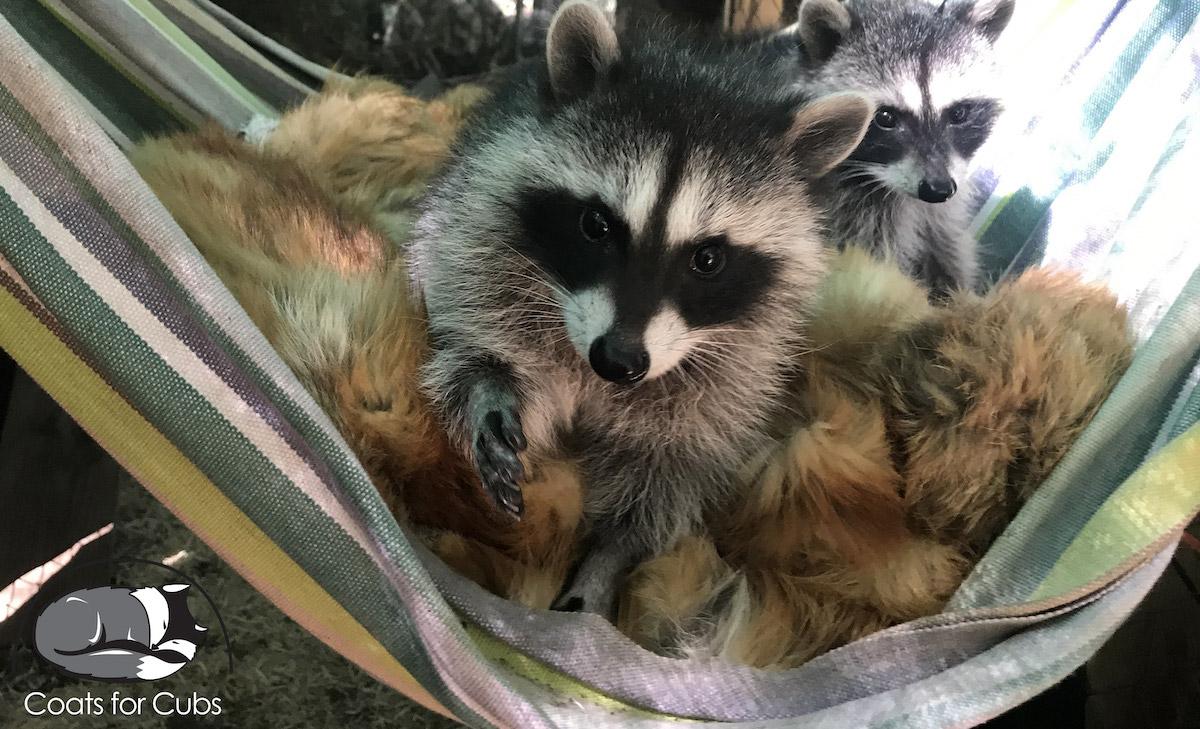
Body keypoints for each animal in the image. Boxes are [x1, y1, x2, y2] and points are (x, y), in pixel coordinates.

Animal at [408, 0, 872, 615]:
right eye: (596, 225)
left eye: (708, 259)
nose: (618, 360)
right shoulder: (478, 228)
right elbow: (477, 326)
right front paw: (492, 383)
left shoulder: (736, 371)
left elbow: (662, 481)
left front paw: (605, 564)